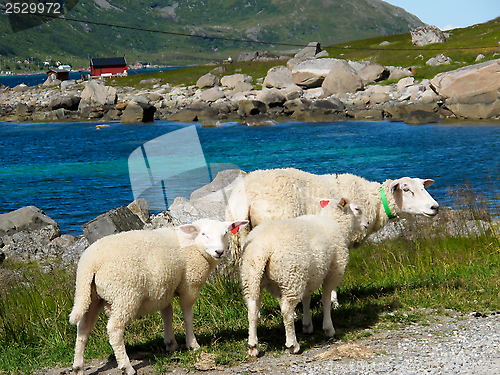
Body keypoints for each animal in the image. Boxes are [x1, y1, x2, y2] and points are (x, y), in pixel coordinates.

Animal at [69, 217, 249, 375]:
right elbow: (187, 315)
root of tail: (89, 264)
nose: (219, 252)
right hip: (125, 295)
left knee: (83, 328)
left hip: (90, 295)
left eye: (225, 233)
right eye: (204, 234)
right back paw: (126, 366)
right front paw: (192, 344)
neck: (192, 243)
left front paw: (171, 343)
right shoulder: (189, 286)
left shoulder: (164, 289)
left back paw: (78, 366)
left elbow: (167, 314)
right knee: (114, 329)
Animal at [227, 167, 438, 258]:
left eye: (422, 187)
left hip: (242, 237)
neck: (374, 201)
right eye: (406, 189)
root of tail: (244, 196)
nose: (435, 207)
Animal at [240, 195, 370, 356]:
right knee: (287, 311)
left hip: (253, 276)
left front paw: (307, 325)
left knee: (252, 309)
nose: (367, 223)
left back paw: (253, 346)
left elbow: (306, 299)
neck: (336, 224)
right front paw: (328, 328)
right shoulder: (333, 272)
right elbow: (326, 300)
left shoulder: (310, 275)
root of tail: (263, 247)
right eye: (357, 209)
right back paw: (292, 344)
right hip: (292, 275)